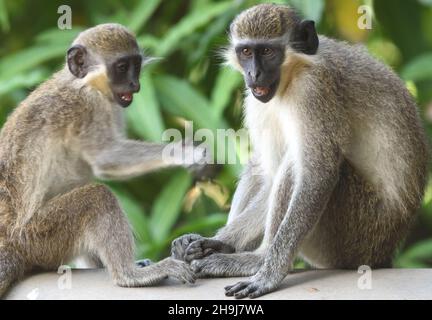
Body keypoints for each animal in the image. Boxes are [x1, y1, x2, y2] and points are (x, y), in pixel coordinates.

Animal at [0, 23, 203, 296]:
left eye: (136, 65)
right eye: (121, 67)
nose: (135, 84)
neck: (82, 82)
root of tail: (9, 242)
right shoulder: (88, 105)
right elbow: (107, 159)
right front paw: (188, 153)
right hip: (36, 238)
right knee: (97, 197)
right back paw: (129, 275)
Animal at [173, 3, 428, 298]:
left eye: (268, 52)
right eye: (246, 52)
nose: (254, 74)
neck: (293, 73)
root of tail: (384, 253)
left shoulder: (313, 89)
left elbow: (318, 174)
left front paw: (268, 275)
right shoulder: (257, 100)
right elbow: (269, 173)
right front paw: (216, 241)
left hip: (356, 236)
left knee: (295, 166)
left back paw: (258, 259)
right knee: (264, 167)